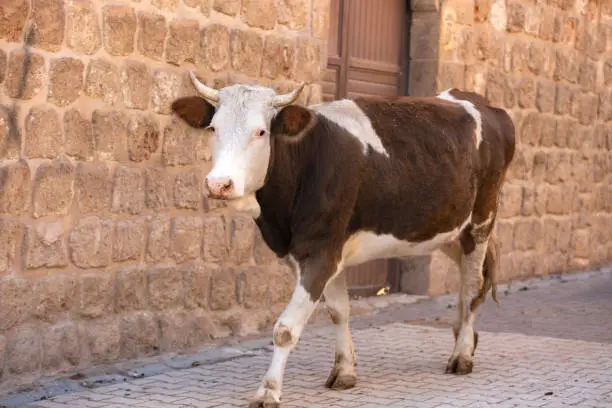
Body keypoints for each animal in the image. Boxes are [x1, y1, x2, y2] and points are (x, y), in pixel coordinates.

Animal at [171, 74, 516, 408]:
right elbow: (338, 311)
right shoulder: (318, 252)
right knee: (471, 282)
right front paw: (345, 371)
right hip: (447, 230)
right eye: (213, 127)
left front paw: (268, 391)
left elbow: (285, 329)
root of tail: (478, 101)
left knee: (471, 287)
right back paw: (465, 337)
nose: (219, 184)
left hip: (480, 222)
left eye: (260, 132)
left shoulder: (321, 251)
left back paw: (462, 355)